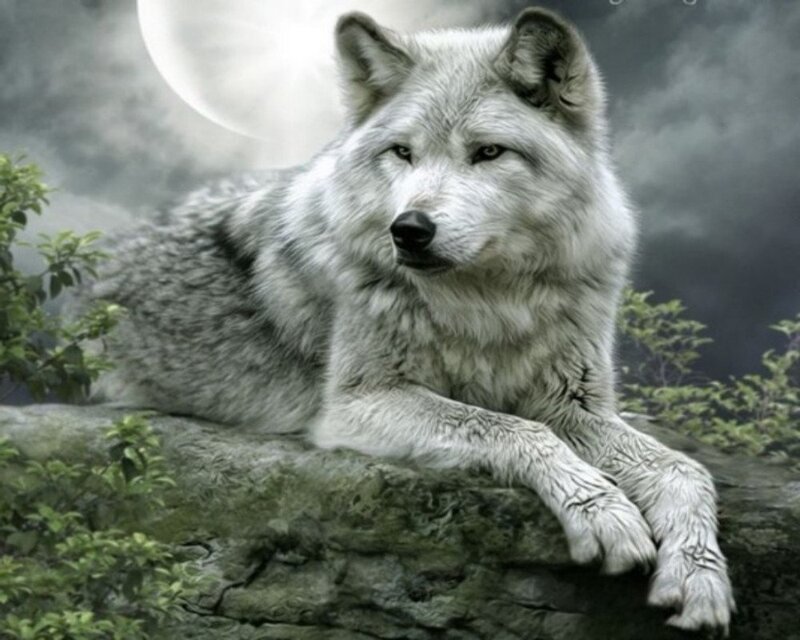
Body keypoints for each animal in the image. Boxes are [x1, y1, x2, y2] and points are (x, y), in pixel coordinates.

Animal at [87, 7, 734, 632]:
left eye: (488, 152)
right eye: (403, 152)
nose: (409, 229)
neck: (490, 303)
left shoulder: (572, 405)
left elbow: (685, 470)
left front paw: (699, 579)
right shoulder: (358, 404)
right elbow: (514, 429)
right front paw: (605, 513)